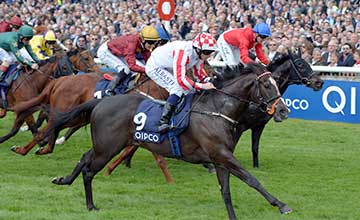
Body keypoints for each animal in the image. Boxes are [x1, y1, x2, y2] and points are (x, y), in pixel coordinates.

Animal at [47, 63, 292, 218]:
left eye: (277, 83)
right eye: (268, 85)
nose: (283, 110)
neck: (216, 110)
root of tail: (101, 102)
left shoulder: (220, 158)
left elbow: (226, 192)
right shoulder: (221, 154)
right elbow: (251, 179)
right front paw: (281, 205)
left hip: (104, 145)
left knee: (84, 158)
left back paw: (64, 180)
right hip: (108, 148)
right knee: (89, 171)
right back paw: (90, 205)